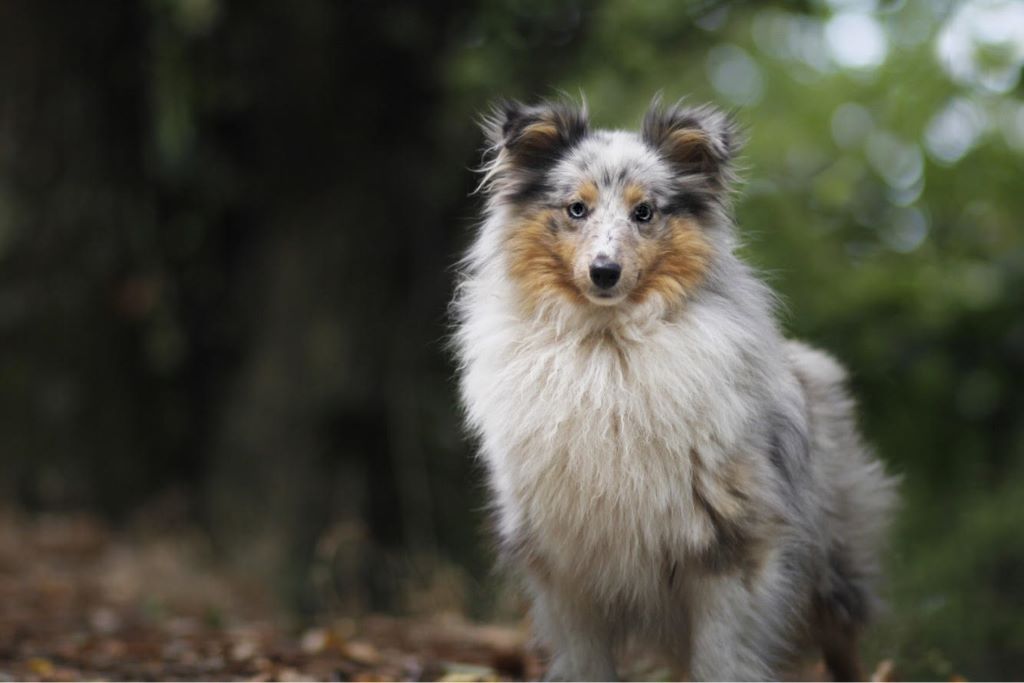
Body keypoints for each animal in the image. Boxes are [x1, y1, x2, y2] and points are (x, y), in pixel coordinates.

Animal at [454, 97, 897, 683]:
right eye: (576, 209)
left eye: (644, 212)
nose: (604, 272)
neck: (607, 350)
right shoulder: (566, 570)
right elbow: (587, 663)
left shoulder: (729, 550)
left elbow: (720, 661)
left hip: (835, 574)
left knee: (843, 647)